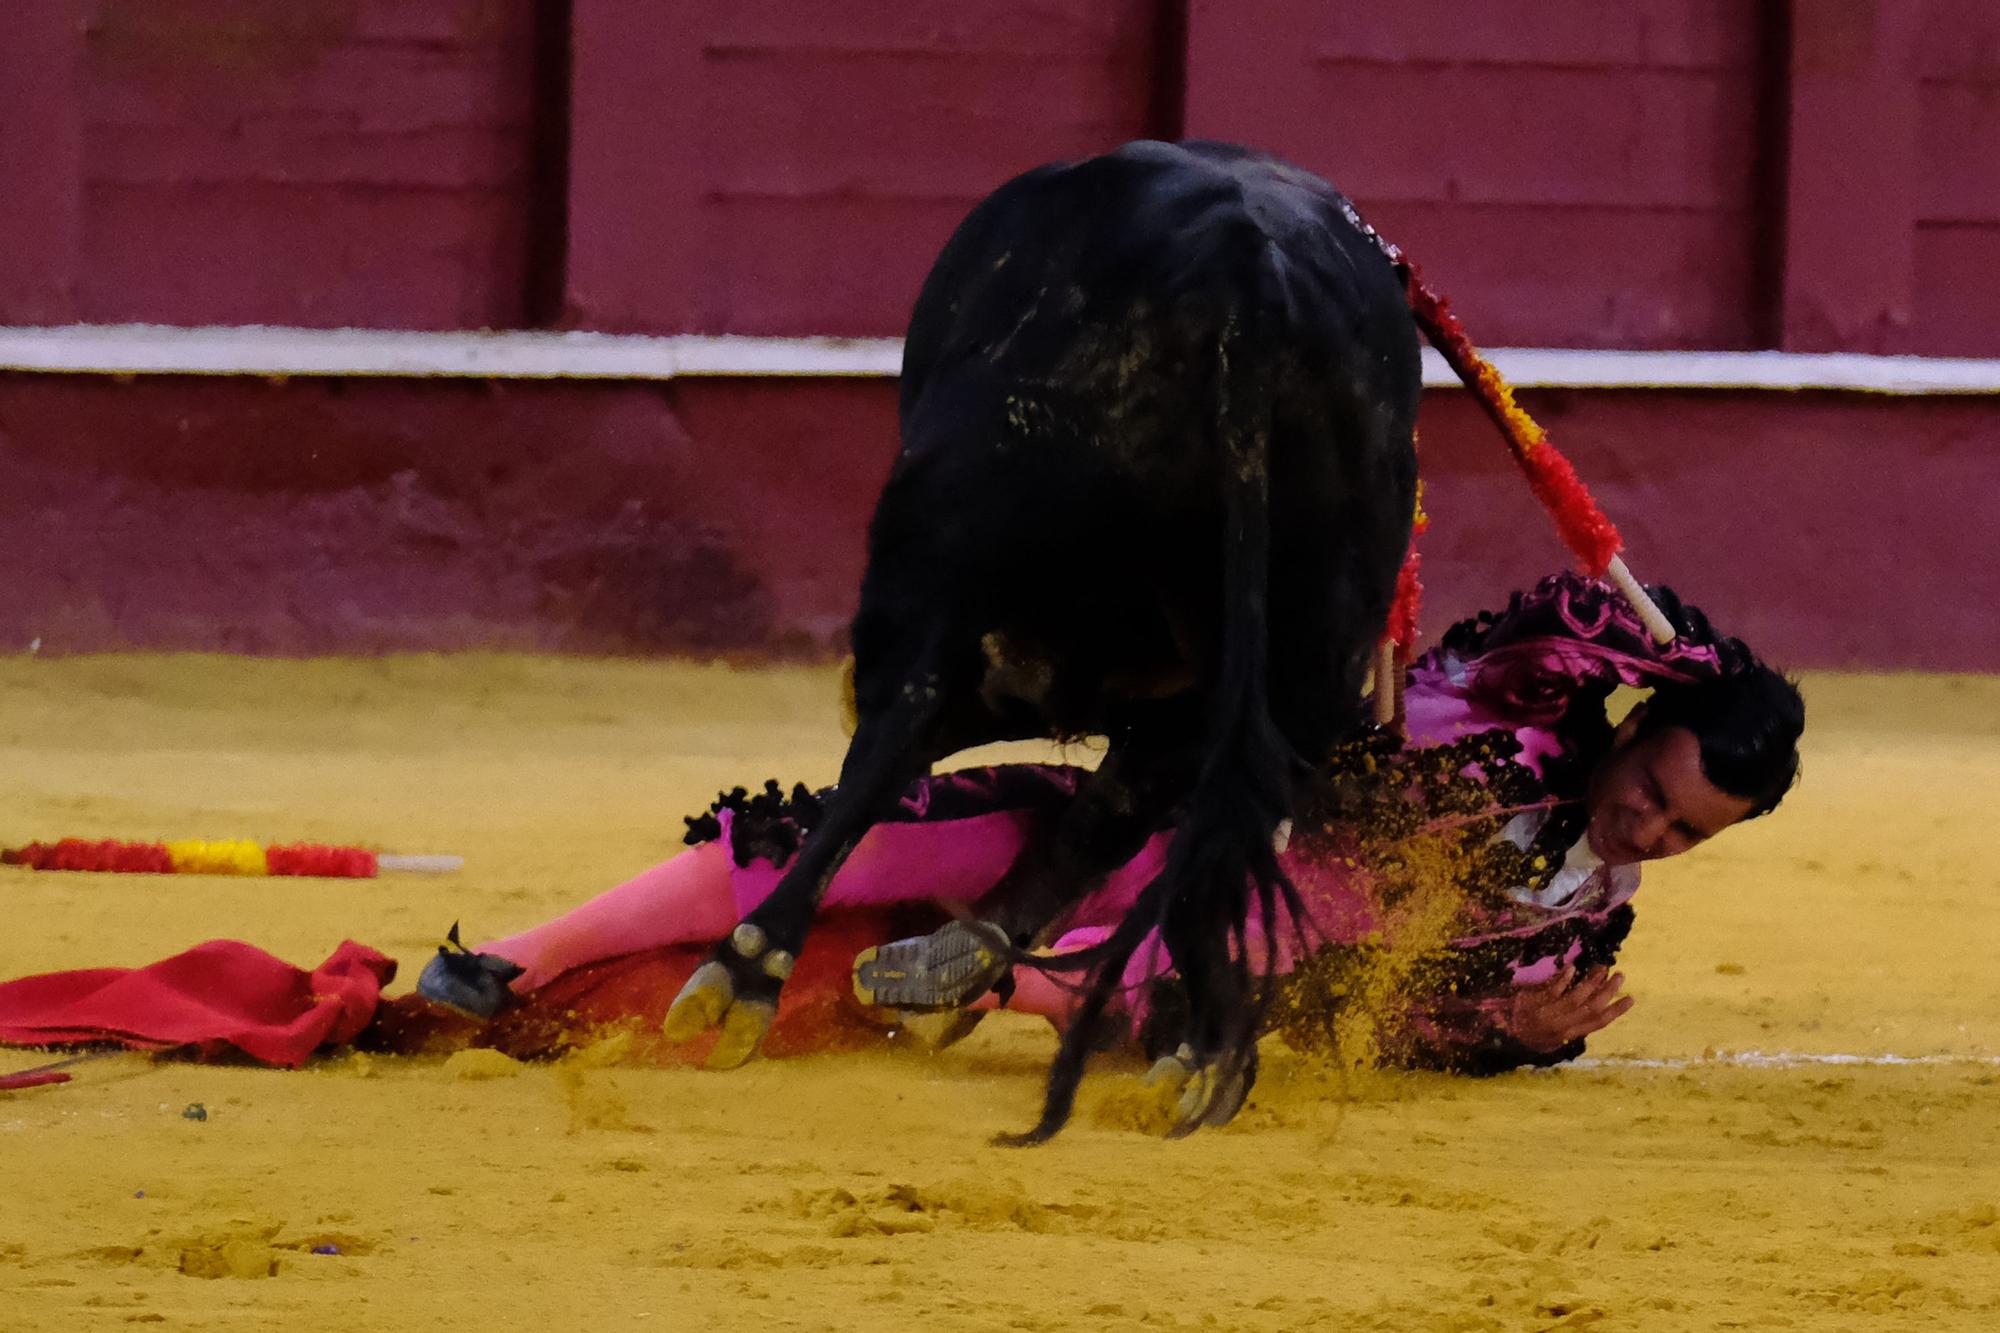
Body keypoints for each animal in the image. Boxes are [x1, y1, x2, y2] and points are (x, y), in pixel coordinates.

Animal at [664, 135, 1416, 1136]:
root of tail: (1247, 273)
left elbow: (888, 763)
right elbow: (1107, 819)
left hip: (941, 560)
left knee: (895, 739)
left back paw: (744, 972)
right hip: (1308, 651)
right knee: (1218, 818)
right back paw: (1196, 1051)